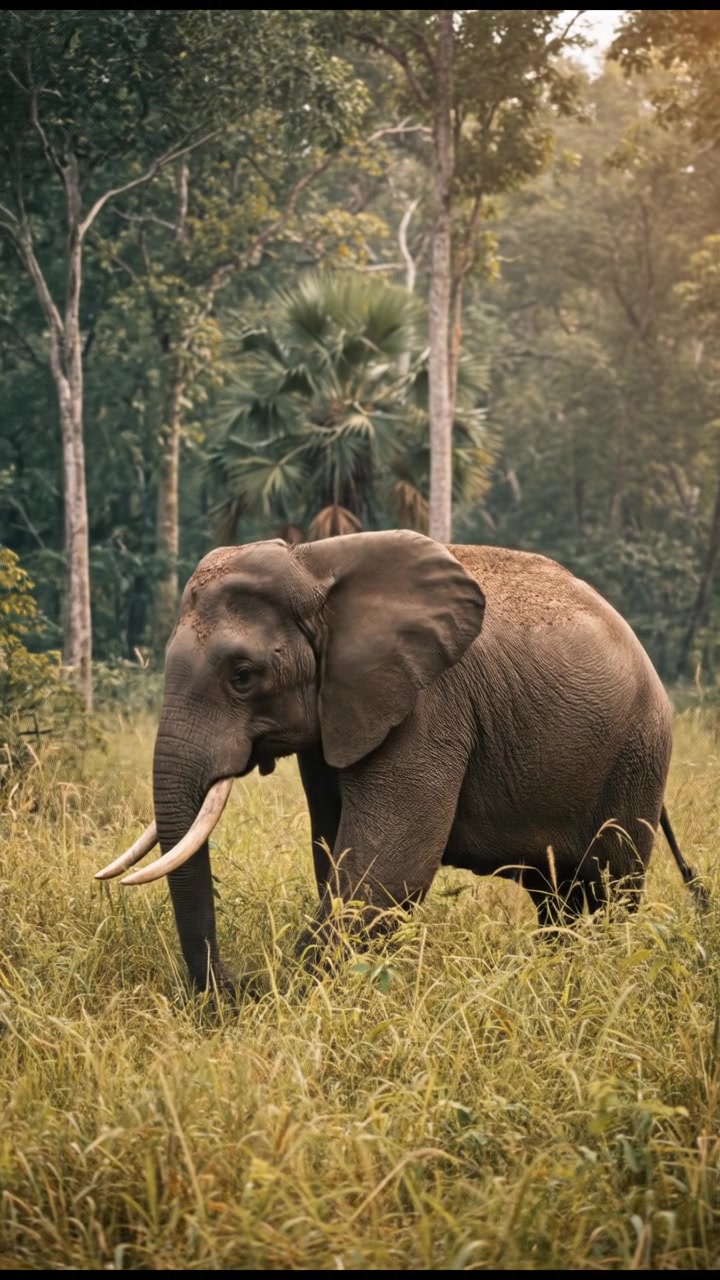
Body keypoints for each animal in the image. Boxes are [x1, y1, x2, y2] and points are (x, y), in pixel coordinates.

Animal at [96, 531, 704, 994]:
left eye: (243, 675)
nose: (236, 984)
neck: (313, 564)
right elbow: (336, 849)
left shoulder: (427, 704)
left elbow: (387, 867)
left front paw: (290, 993)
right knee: (558, 897)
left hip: (637, 755)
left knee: (609, 889)